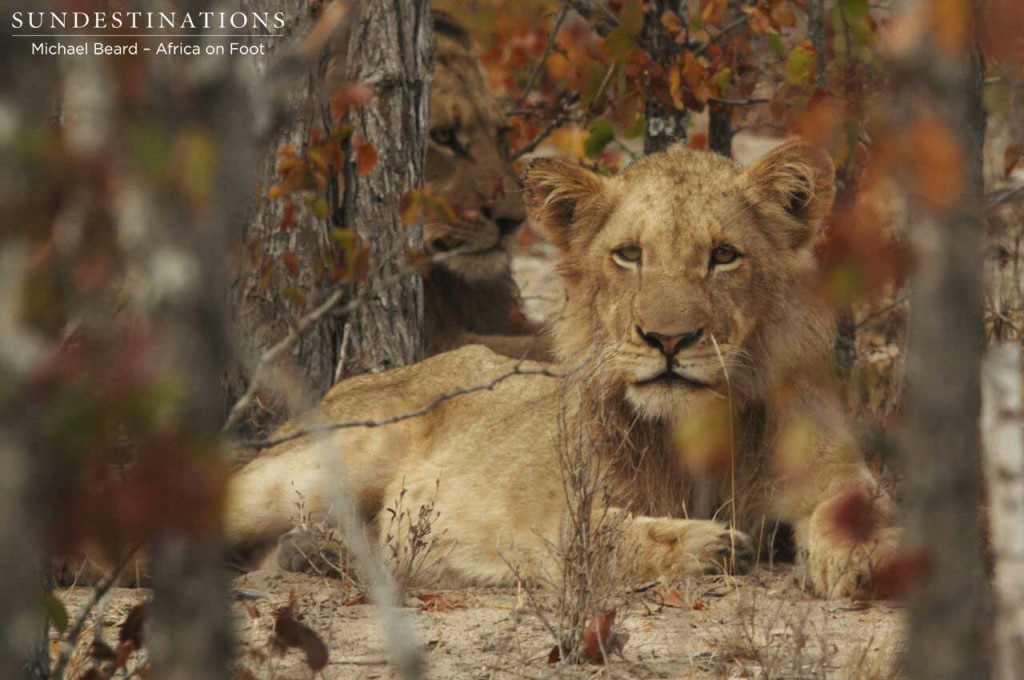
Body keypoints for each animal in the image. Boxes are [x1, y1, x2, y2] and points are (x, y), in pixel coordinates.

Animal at [228, 140, 901, 598]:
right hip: (326, 464)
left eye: (724, 256)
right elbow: (597, 538)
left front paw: (861, 559)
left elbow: (856, 505)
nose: (668, 339)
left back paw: (315, 552)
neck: (696, 431)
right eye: (628, 254)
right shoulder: (546, 516)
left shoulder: (830, 467)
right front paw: (706, 545)